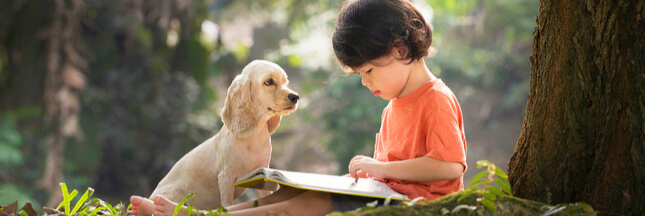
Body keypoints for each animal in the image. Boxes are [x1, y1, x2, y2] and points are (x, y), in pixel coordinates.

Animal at [151, 60, 300, 208]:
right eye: (268, 82)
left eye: (286, 82)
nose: (296, 97)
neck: (252, 138)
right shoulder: (226, 177)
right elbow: (228, 205)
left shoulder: (261, 175)